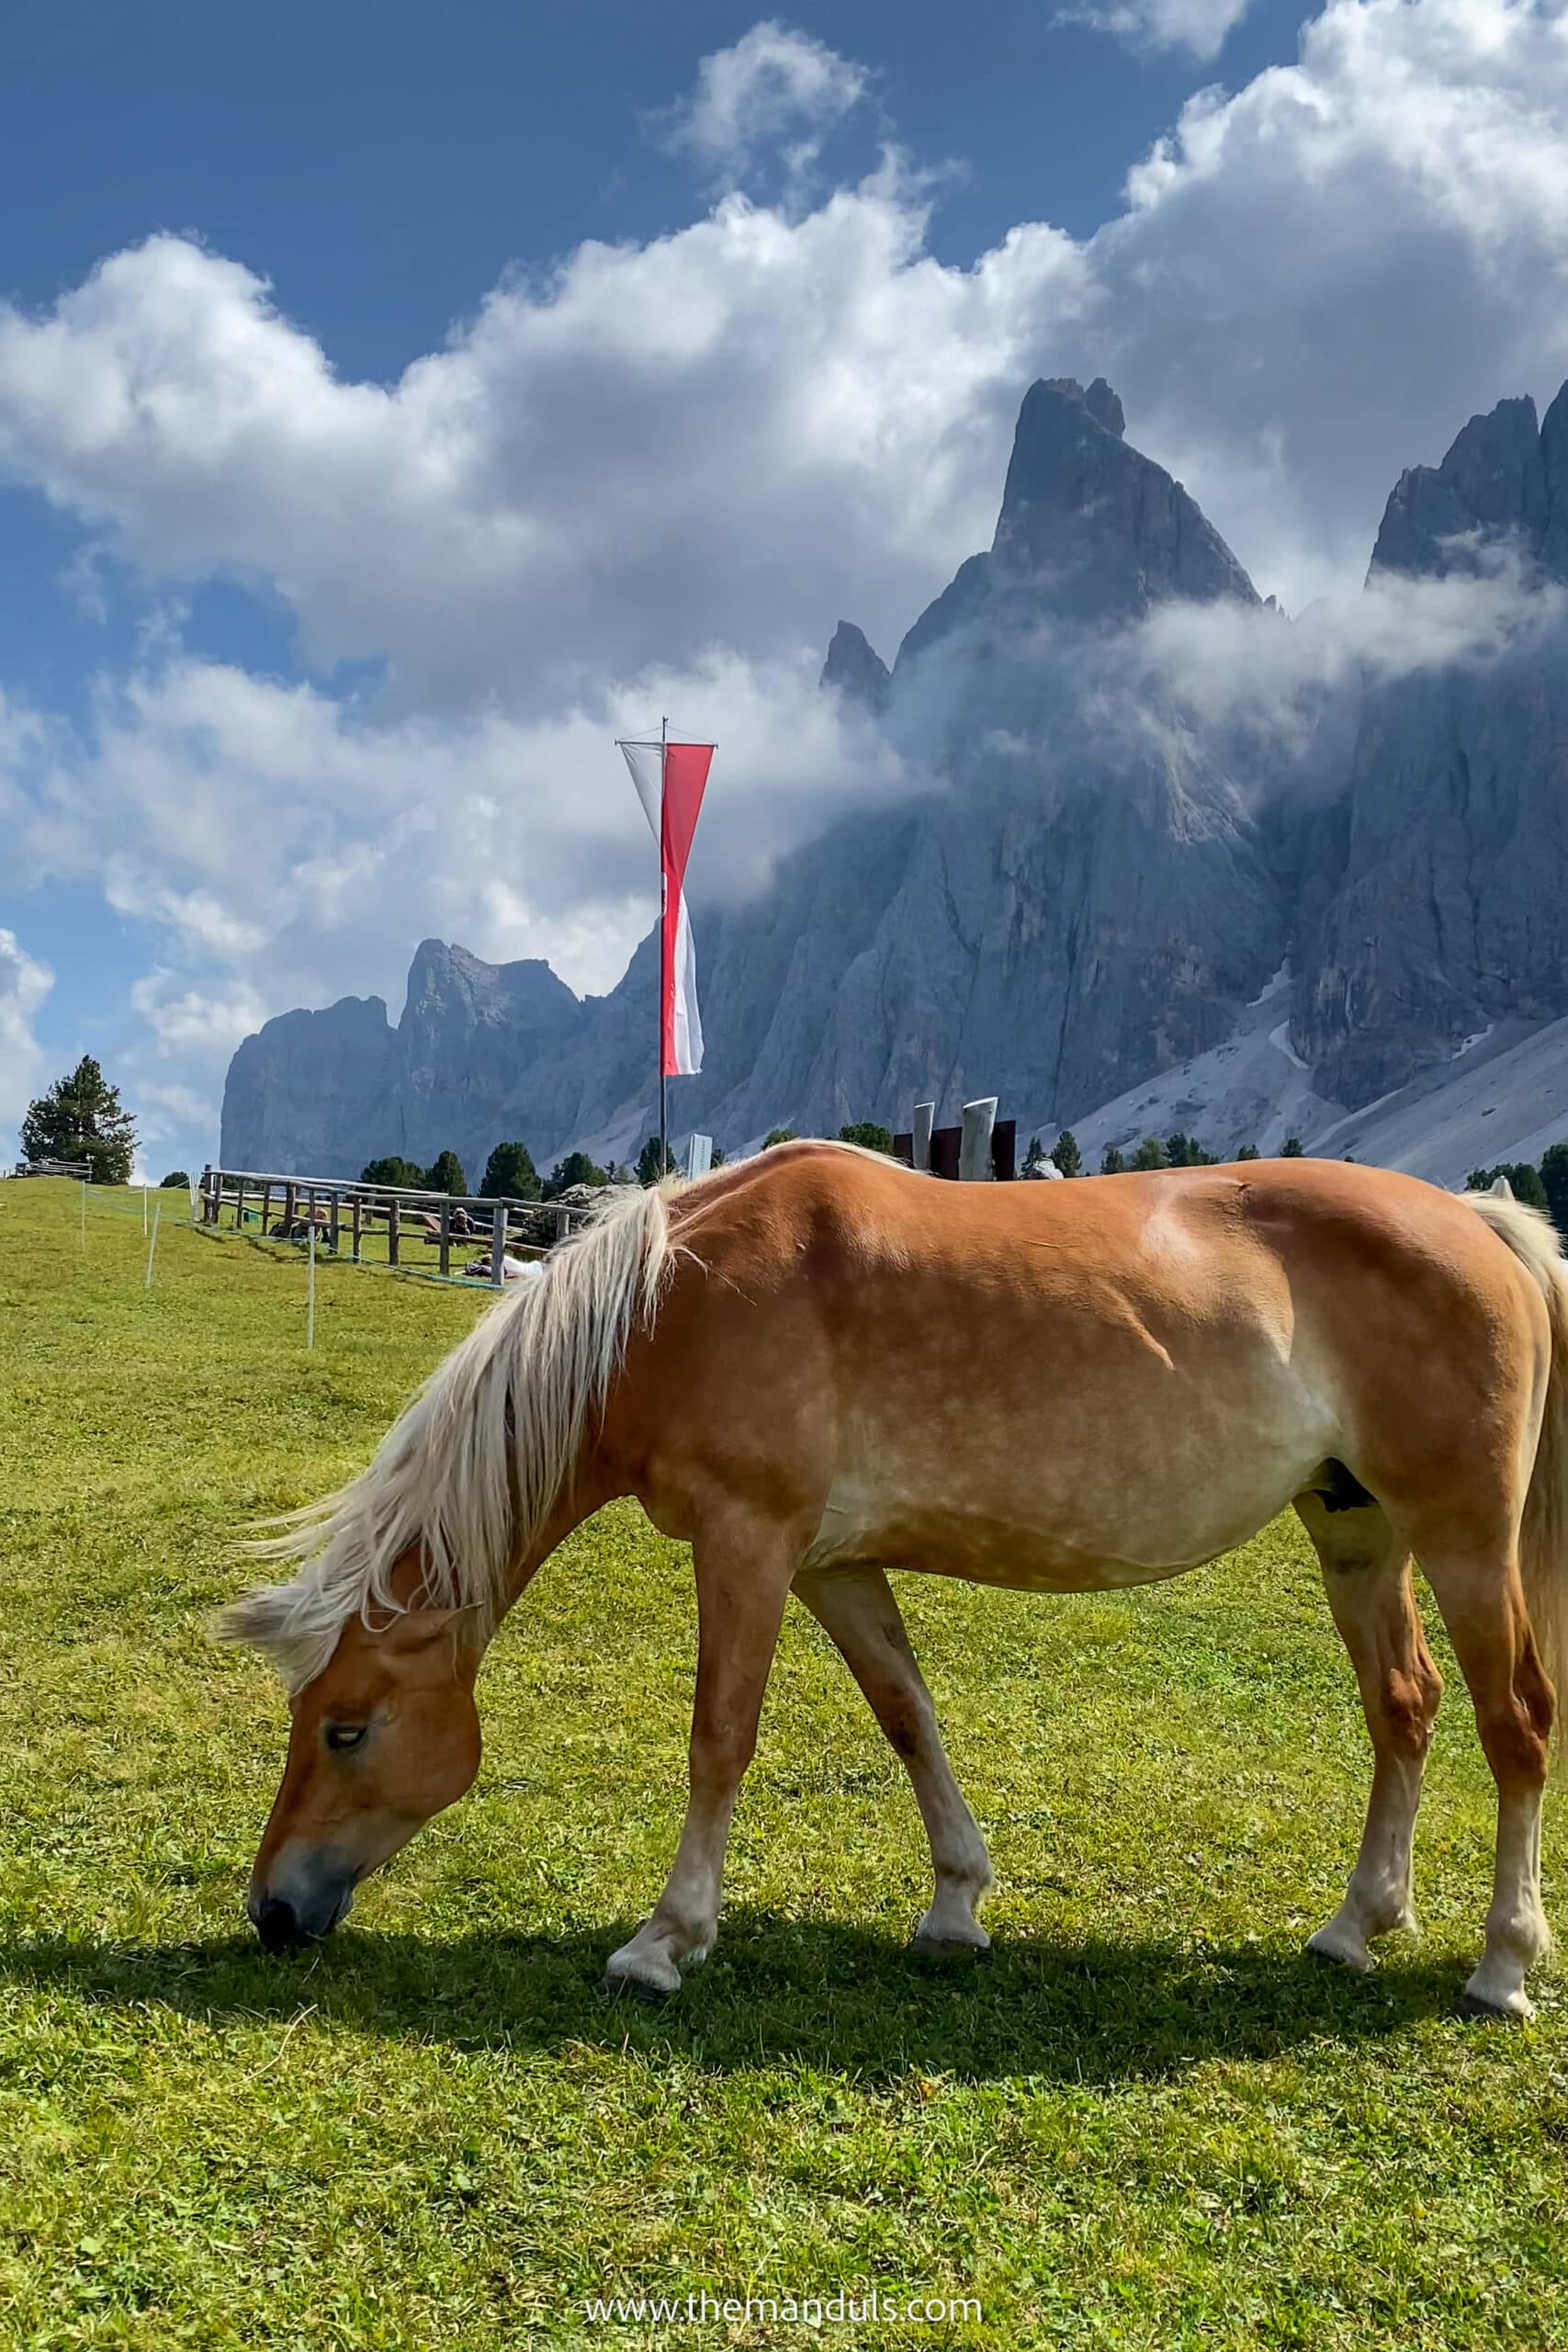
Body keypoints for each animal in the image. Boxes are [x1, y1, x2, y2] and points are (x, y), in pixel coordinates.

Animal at [223, 1143, 1568, 2022]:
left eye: (347, 1729)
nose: (271, 1913)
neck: (671, 1300)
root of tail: (1477, 1223)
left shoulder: (748, 1542)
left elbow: (720, 1736)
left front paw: (665, 1941)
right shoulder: (835, 1565)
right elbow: (908, 1718)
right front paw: (956, 1907)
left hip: (1462, 1539)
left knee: (1515, 1725)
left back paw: (1499, 1967)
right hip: (1357, 1535)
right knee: (1403, 1707)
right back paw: (1354, 1925)